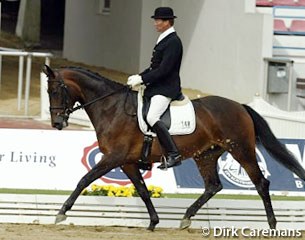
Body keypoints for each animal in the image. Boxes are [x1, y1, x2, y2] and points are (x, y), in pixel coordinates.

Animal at [42, 64, 304, 231]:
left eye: (55, 90)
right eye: (47, 92)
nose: (57, 123)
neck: (111, 108)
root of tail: (240, 106)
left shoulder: (113, 158)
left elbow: (84, 180)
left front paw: (61, 213)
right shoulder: (127, 162)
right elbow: (143, 190)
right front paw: (153, 222)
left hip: (242, 150)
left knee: (261, 183)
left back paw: (272, 225)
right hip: (205, 156)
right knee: (213, 186)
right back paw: (186, 218)